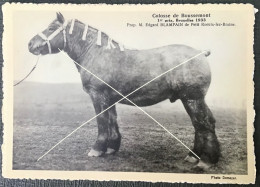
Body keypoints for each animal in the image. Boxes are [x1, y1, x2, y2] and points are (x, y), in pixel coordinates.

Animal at [27, 12, 219, 169]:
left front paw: (97, 150)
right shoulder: (109, 99)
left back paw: (205, 161)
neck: (97, 53)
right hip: (193, 99)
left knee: (203, 124)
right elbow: (112, 121)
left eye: (52, 28)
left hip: (192, 99)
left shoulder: (98, 96)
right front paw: (111, 148)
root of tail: (201, 53)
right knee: (202, 124)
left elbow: (102, 122)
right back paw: (193, 156)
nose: (30, 44)